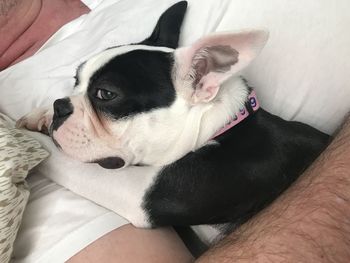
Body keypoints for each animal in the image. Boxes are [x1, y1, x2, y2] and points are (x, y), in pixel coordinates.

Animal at [17, 0, 330, 239]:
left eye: (105, 94)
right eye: (75, 81)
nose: (60, 106)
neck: (220, 128)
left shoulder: (136, 193)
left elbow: (56, 156)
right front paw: (42, 114)